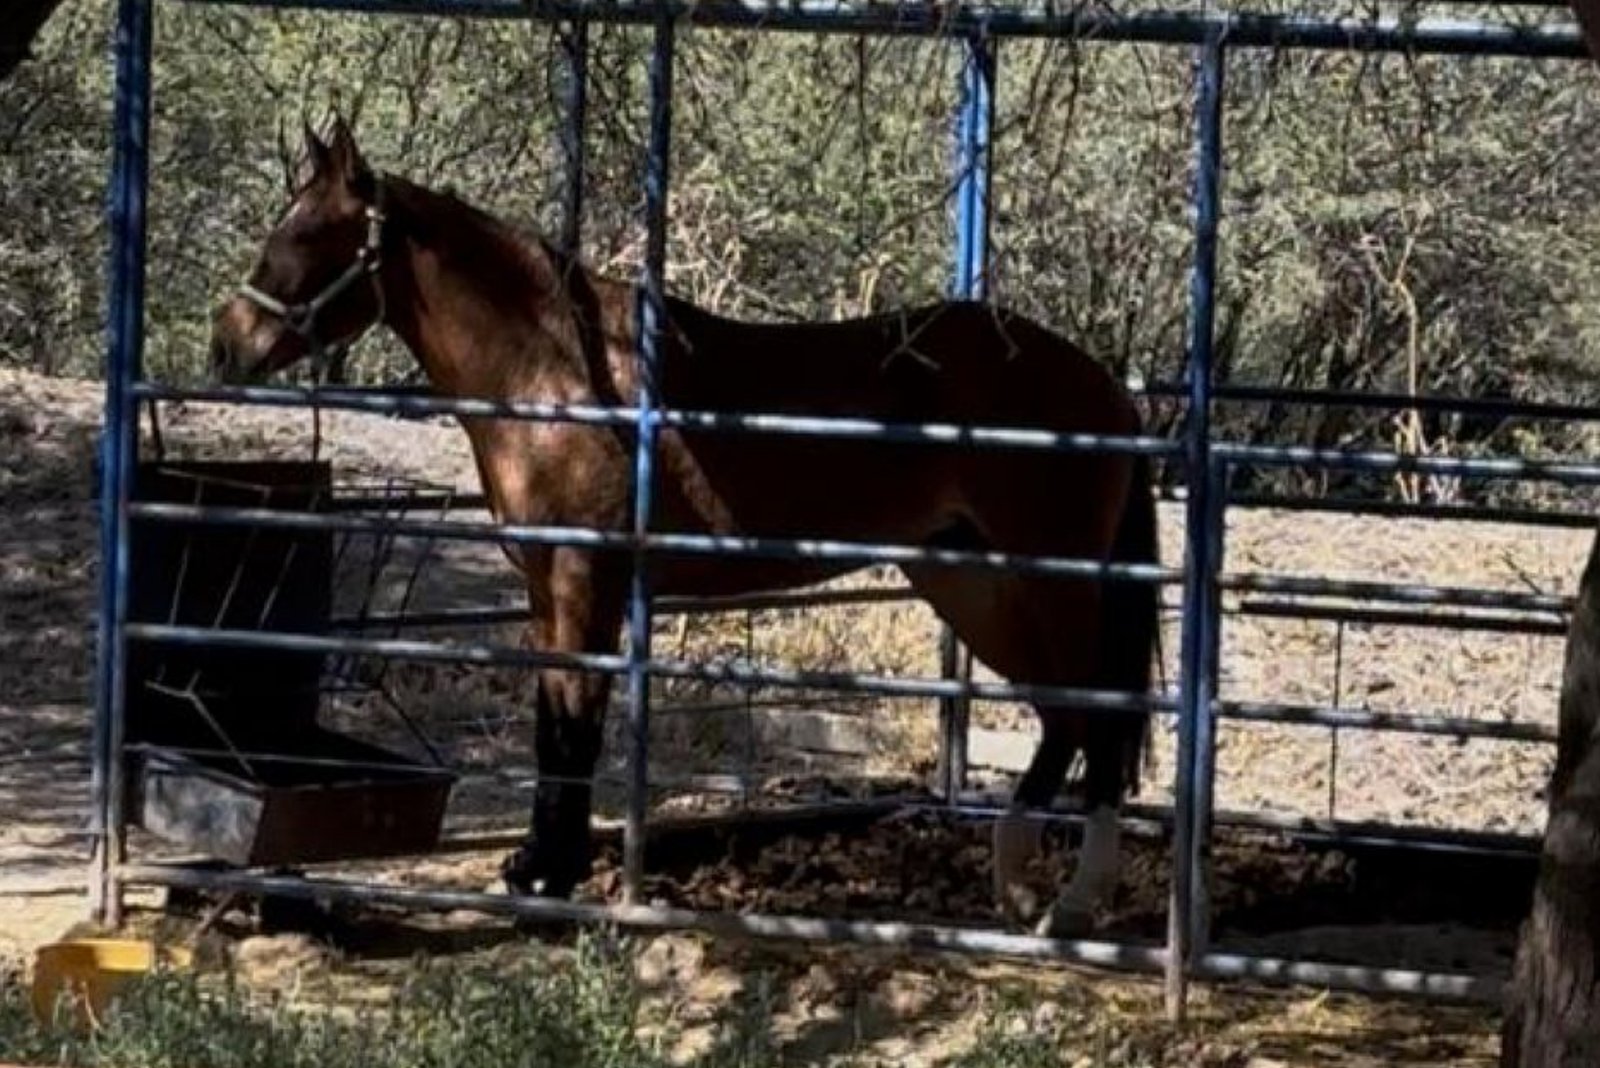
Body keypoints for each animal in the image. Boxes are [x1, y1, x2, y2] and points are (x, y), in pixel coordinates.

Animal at [207, 117, 1160, 938]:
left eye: (309, 235)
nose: (227, 347)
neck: (559, 372)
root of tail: (1107, 390)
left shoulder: (586, 584)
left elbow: (577, 729)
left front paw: (550, 878)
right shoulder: (546, 588)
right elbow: (554, 723)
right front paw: (534, 866)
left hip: (1051, 586)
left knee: (1097, 721)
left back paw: (1072, 903)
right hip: (976, 586)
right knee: (1065, 723)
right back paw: (1018, 888)